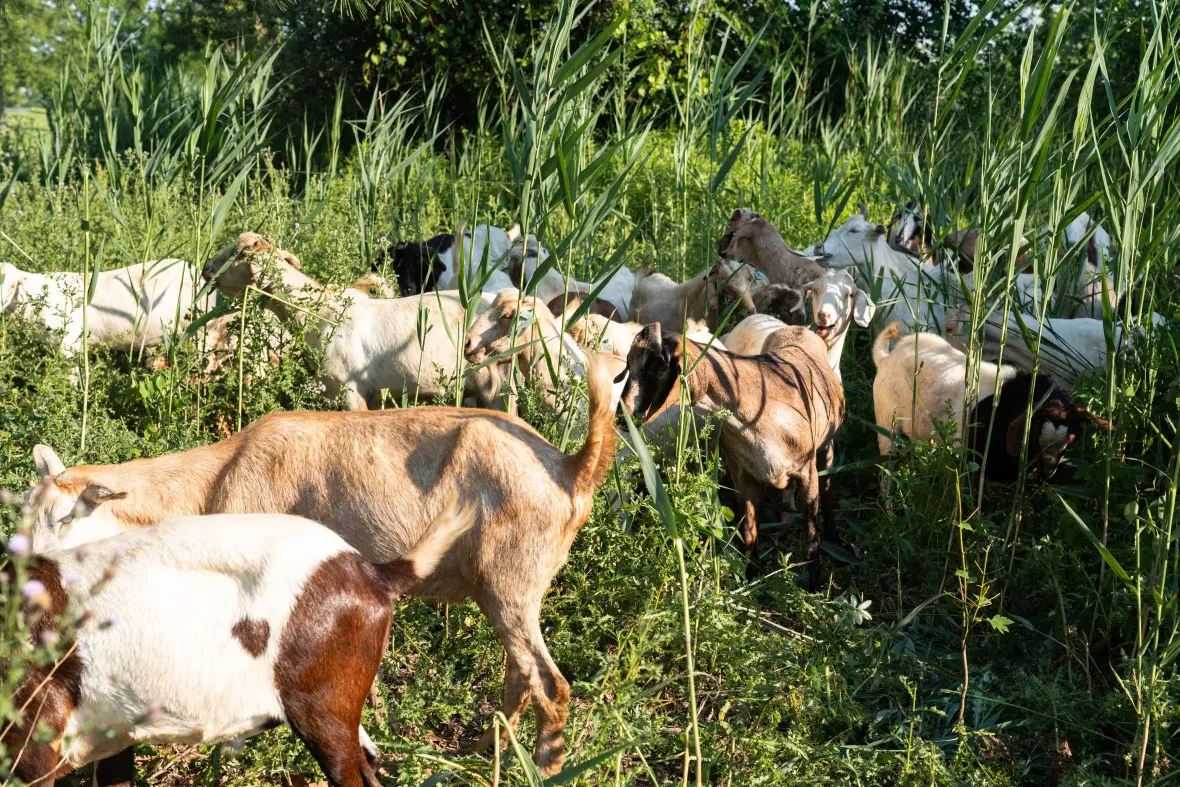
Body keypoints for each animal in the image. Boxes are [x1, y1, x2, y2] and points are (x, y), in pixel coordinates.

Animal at [613, 320, 844, 589]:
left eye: (657, 367)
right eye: (629, 364)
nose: (622, 418)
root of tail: (798, 328)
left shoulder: (806, 473)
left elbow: (810, 540)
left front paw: (814, 587)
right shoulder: (744, 477)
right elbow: (749, 534)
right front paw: (749, 580)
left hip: (826, 446)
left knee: (827, 488)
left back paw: (834, 538)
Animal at [868, 320, 1104, 481]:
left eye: (1071, 439)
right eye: (1036, 434)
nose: (1049, 471)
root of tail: (886, 358)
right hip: (886, 422)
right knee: (886, 469)